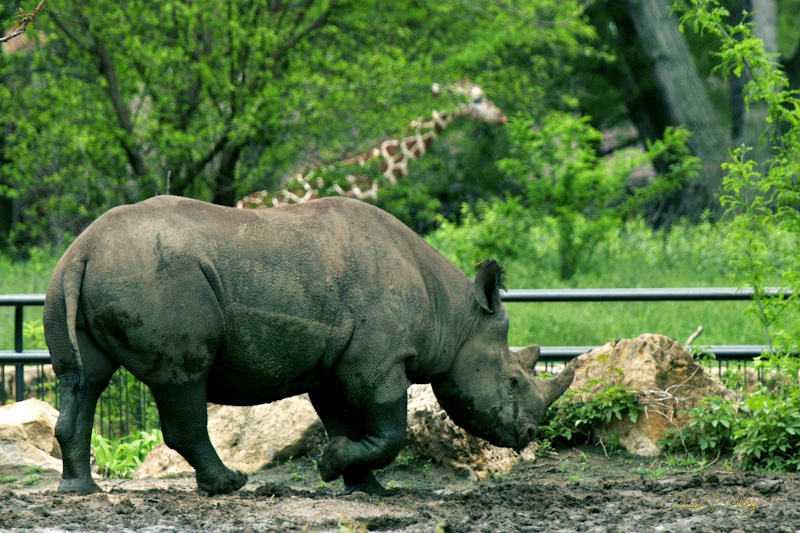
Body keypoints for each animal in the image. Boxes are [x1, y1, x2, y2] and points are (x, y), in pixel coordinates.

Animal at [44, 195, 574, 496]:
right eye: (512, 380)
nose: (529, 435)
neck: (456, 315)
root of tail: (84, 249)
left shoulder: (338, 362)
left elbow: (347, 421)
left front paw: (367, 487)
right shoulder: (378, 360)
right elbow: (389, 431)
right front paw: (332, 466)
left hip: (73, 277)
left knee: (82, 381)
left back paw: (80, 493)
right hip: (158, 278)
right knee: (183, 377)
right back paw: (230, 486)